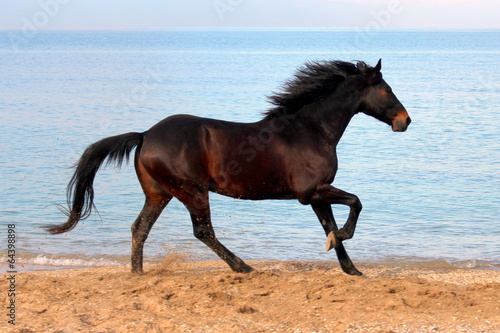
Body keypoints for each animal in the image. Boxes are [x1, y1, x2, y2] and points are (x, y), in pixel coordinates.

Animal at [45, 59, 410, 274]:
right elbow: (355, 204)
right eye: (386, 89)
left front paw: (351, 268)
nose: (405, 121)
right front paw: (341, 242)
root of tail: (146, 134)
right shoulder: (311, 192)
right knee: (202, 231)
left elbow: (330, 225)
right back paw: (243, 267)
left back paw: (138, 274)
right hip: (192, 191)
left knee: (140, 229)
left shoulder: (317, 196)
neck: (310, 130)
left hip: (160, 194)